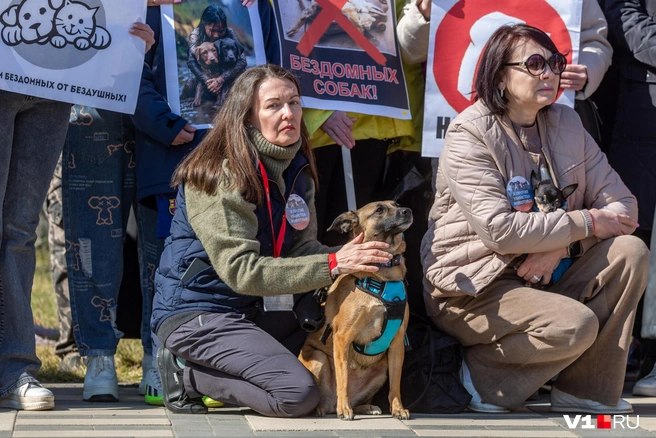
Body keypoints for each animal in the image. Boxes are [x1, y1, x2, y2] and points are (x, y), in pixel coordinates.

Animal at [300, 202, 412, 420]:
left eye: (396, 204)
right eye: (379, 210)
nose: (408, 210)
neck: (382, 275)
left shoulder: (397, 343)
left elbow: (395, 384)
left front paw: (398, 408)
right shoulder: (343, 337)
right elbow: (343, 379)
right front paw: (344, 409)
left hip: (380, 369)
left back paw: (365, 407)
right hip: (318, 359)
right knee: (325, 397)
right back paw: (325, 408)